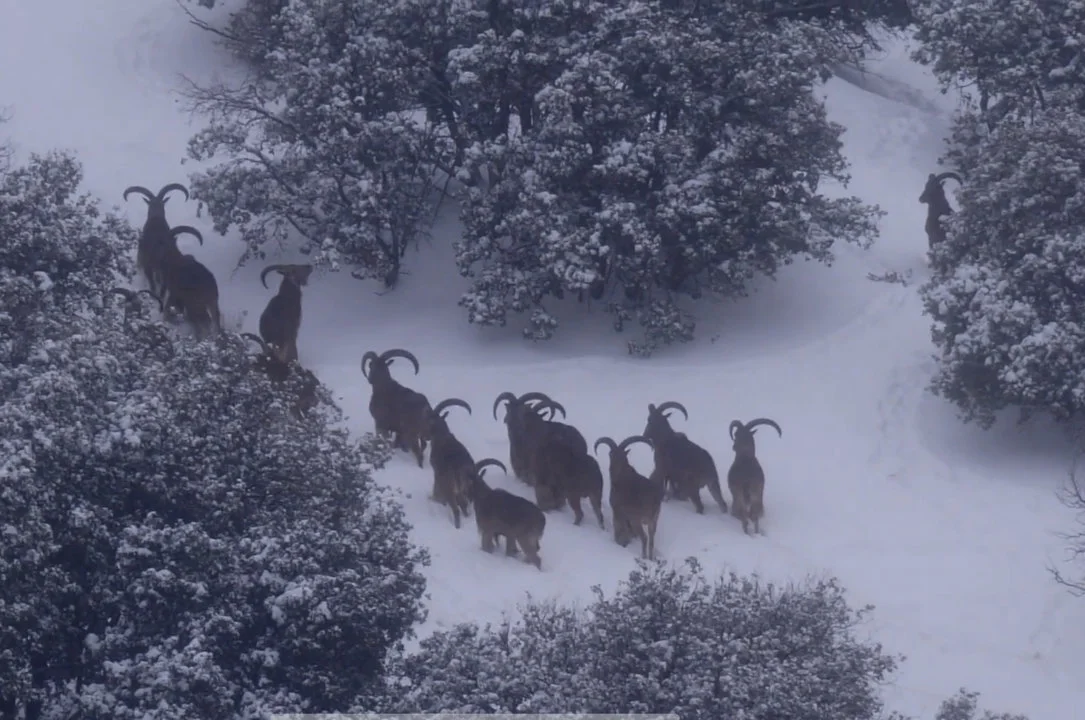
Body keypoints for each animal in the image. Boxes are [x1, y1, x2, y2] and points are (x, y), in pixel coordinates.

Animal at [425, 397, 475, 529]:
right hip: (465, 489)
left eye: (429, 422)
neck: (442, 435)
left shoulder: (437, 473)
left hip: (450, 487)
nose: (426, 437)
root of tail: (461, 469)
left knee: (457, 509)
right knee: (464, 505)